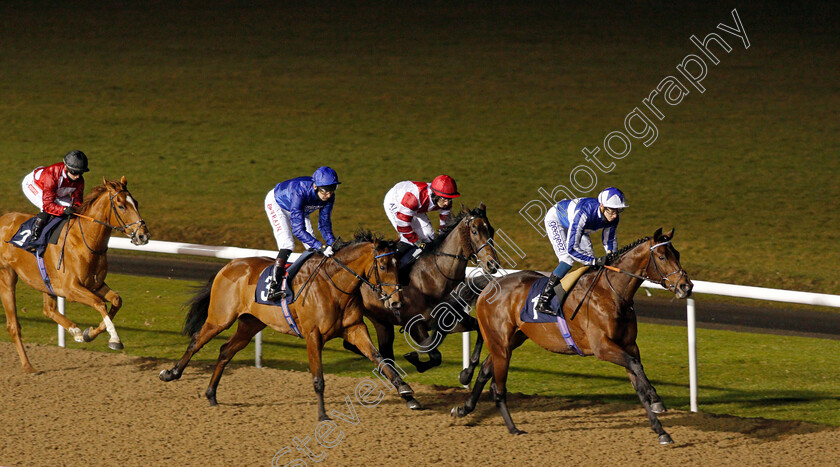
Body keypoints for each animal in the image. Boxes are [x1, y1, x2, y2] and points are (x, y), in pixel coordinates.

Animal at [0, 177, 149, 374]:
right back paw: (29, 366)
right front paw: (114, 339)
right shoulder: (70, 289)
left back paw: (74, 331)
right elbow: (99, 303)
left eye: (136, 203)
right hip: (7, 275)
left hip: (45, 283)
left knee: (49, 309)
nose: (143, 236)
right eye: (121, 205)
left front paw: (88, 333)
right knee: (13, 325)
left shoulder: (95, 284)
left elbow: (116, 300)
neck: (85, 241)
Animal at [158, 232, 420, 418]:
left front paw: (407, 393)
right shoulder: (313, 336)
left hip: (250, 324)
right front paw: (323, 414)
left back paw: (211, 394)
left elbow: (381, 359)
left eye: (399, 266)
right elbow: (318, 378)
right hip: (220, 318)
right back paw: (171, 373)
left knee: (225, 351)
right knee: (196, 341)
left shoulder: (355, 329)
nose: (396, 301)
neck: (334, 287)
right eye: (383, 266)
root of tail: (229, 265)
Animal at [354, 204, 498, 372]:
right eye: (474, 231)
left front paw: (468, 371)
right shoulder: (414, 325)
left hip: (382, 322)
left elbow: (479, 330)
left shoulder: (450, 319)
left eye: (491, 230)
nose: (493, 264)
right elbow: (435, 356)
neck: (433, 276)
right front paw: (414, 359)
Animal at [456, 230, 692, 446]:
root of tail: (489, 286)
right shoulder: (602, 347)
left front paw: (661, 430)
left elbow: (638, 381)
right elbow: (636, 366)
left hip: (512, 340)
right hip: (500, 342)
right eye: (662, 256)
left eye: (678, 254)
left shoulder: (629, 345)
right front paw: (657, 399)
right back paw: (513, 428)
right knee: (498, 386)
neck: (611, 293)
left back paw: (464, 408)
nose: (686, 286)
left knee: (486, 370)